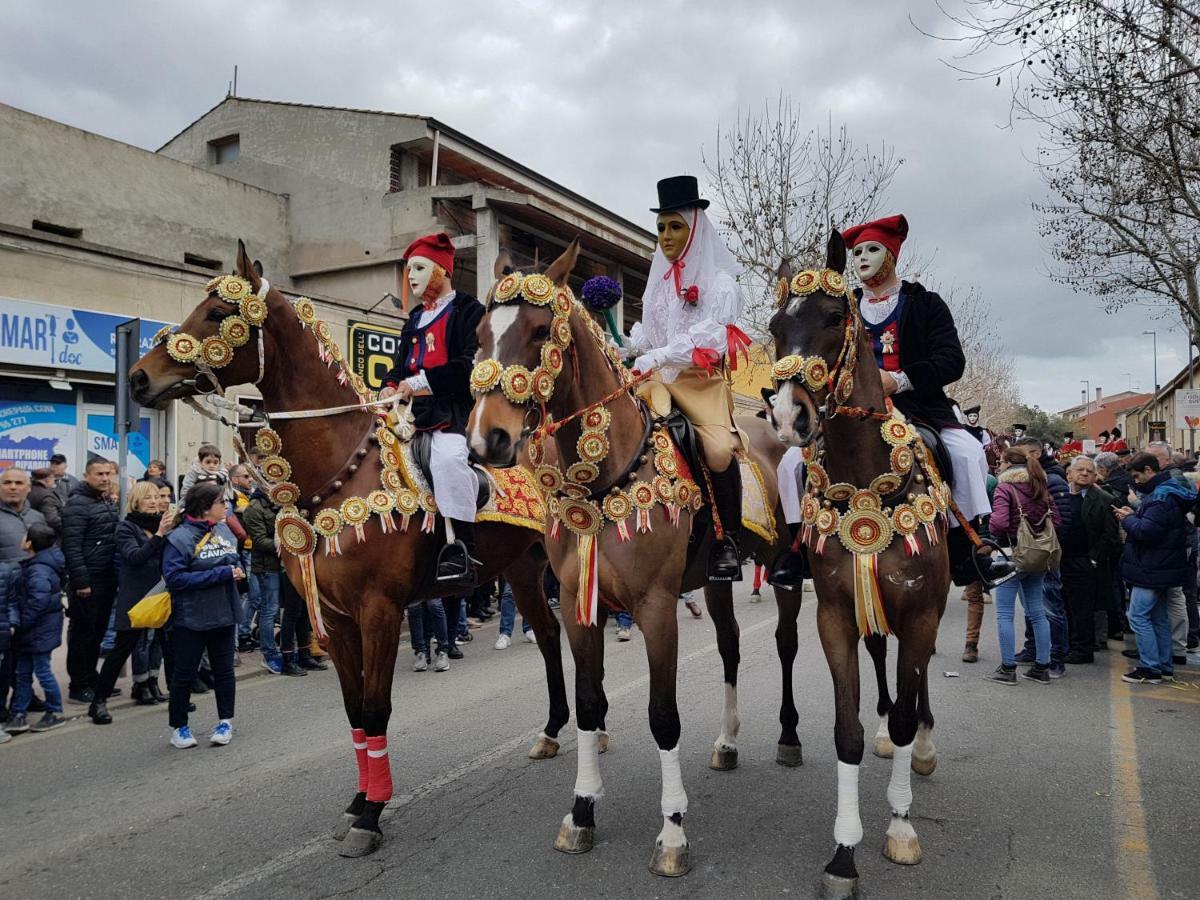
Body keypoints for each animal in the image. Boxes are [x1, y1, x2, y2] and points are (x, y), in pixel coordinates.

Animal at [133, 243, 573, 864]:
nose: (138, 376)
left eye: (218, 312)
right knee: (550, 636)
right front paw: (357, 803)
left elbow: (375, 707)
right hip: (521, 570)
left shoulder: (379, 611)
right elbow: (353, 711)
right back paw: (552, 730)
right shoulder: (334, 617)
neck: (340, 468)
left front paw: (370, 815)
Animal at [468, 241, 806, 883]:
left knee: (786, 644)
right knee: (730, 647)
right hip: (715, 582)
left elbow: (662, 716)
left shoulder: (655, 608)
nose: (486, 441)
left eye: (540, 330)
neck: (605, 476)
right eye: (479, 333)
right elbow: (588, 705)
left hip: (784, 569)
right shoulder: (581, 607)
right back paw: (726, 743)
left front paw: (672, 831)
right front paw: (581, 812)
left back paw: (790, 736)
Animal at [763, 234, 950, 900]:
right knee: (883, 664)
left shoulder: (921, 612)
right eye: (775, 327)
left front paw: (900, 827)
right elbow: (846, 729)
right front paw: (844, 853)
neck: (868, 484)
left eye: (831, 317)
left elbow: (908, 711)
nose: (788, 416)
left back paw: (920, 747)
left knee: (917, 689)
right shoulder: (837, 615)